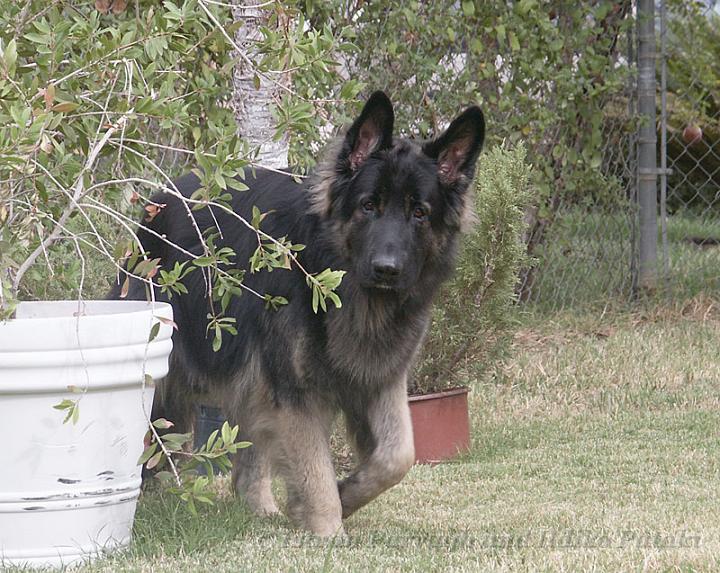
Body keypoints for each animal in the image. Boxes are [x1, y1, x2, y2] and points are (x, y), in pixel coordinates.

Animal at [111, 91, 484, 536]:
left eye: (420, 213)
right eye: (368, 206)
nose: (386, 269)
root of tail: (163, 197)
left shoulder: (380, 377)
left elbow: (398, 458)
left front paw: (346, 495)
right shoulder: (294, 391)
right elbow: (316, 473)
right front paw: (328, 529)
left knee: (247, 464)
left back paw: (260, 508)